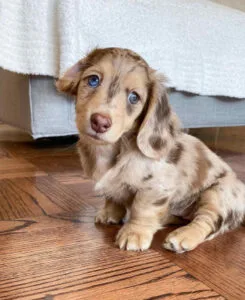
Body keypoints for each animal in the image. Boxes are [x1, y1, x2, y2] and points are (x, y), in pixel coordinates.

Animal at [55, 47, 245, 253]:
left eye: (134, 97)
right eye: (93, 80)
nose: (100, 122)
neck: (116, 148)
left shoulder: (155, 186)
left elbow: (143, 209)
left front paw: (134, 234)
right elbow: (112, 197)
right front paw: (109, 213)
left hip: (218, 193)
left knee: (206, 221)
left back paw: (183, 236)